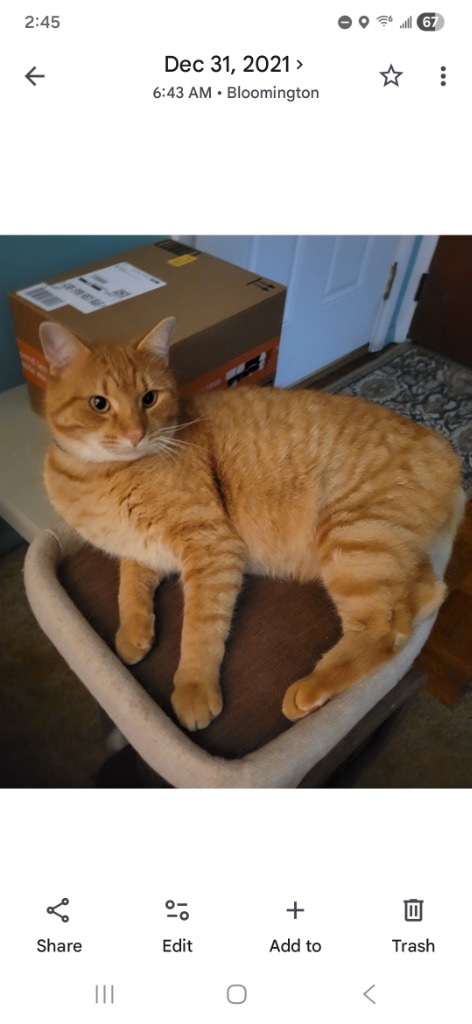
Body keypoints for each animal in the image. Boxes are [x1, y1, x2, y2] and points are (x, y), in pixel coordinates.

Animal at [39, 316, 465, 732]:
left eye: (149, 398)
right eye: (99, 404)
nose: (135, 435)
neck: (99, 476)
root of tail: (448, 454)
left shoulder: (211, 545)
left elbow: (200, 629)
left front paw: (194, 688)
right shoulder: (143, 549)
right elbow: (128, 586)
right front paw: (133, 633)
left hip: (354, 540)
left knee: (385, 629)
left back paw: (310, 689)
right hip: (382, 548)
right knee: (422, 601)